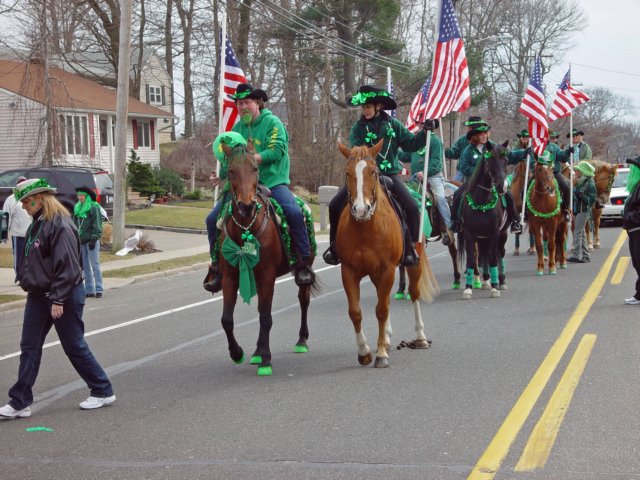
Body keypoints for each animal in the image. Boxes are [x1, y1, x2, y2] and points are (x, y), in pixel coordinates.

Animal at [216, 144, 316, 376]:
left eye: (255, 168)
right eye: (231, 171)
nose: (246, 206)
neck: (246, 227)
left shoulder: (267, 277)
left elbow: (265, 317)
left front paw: (266, 360)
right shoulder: (230, 277)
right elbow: (227, 319)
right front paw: (237, 353)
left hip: (304, 269)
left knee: (303, 300)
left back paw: (301, 340)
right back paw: (256, 352)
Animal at [336, 141, 440, 370]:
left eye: (373, 172)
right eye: (347, 173)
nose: (361, 209)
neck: (365, 228)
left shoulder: (388, 270)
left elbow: (382, 309)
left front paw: (382, 353)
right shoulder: (348, 271)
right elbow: (355, 312)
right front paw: (365, 352)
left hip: (414, 264)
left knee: (413, 294)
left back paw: (420, 338)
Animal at [458, 142, 508, 298]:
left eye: (506, 160)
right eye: (491, 160)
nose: (502, 187)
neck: (482, 201)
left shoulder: (494, 233)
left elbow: (493, 258)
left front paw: (495, 288)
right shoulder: (470, 233)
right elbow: (471, 259)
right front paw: (468, 288)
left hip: (502, 234)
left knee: (499, 253)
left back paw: (500, 281)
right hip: (481, 237)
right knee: (483, 253)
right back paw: (485, 281)